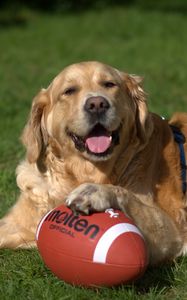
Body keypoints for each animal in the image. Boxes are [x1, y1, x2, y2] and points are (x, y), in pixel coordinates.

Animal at [0, 61, 187, 264]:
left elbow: (128, 197)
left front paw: (93, 192)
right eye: (69, 91)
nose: (97, 104)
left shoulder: (172, 232)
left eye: (109, 84)